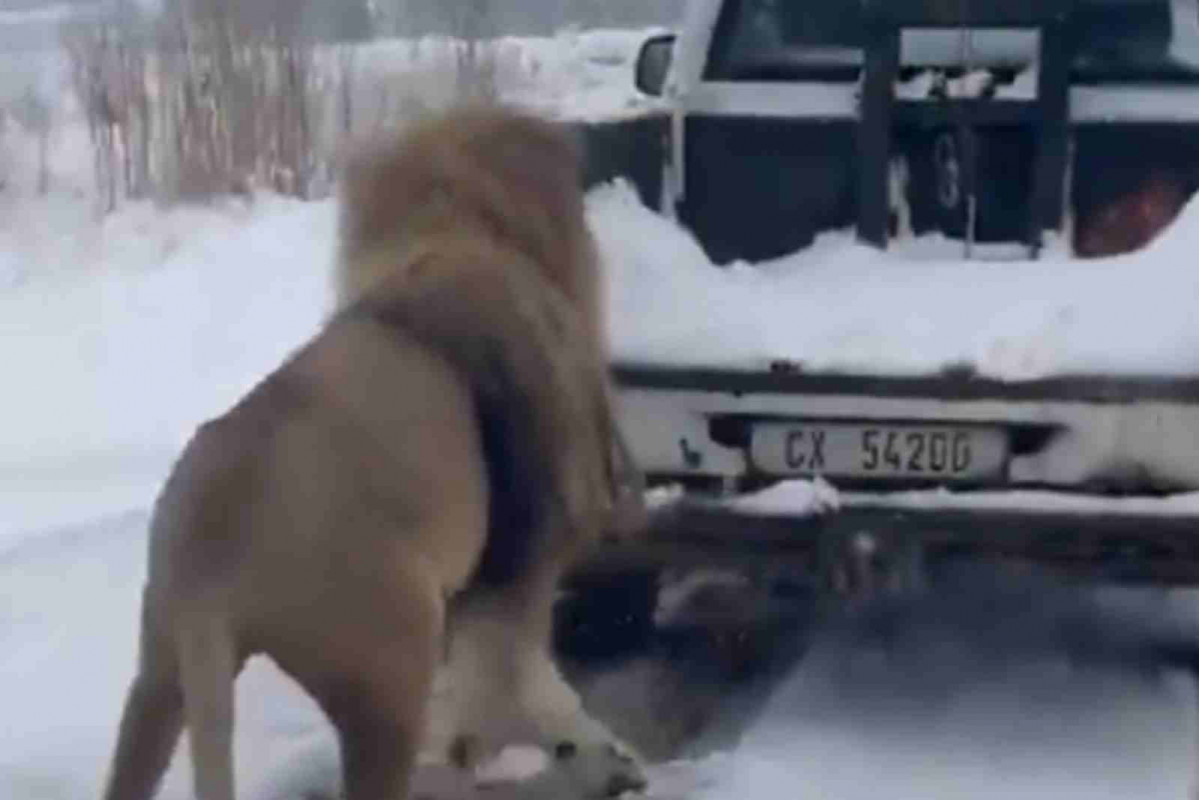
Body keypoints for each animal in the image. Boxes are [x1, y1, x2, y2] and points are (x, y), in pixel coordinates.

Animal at [100, 106, 647, 800]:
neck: (454, 229)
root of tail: (210, 558)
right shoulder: (515, 562)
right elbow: (520, 675)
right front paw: (587, 752)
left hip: (160, 668)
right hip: (388, 672)